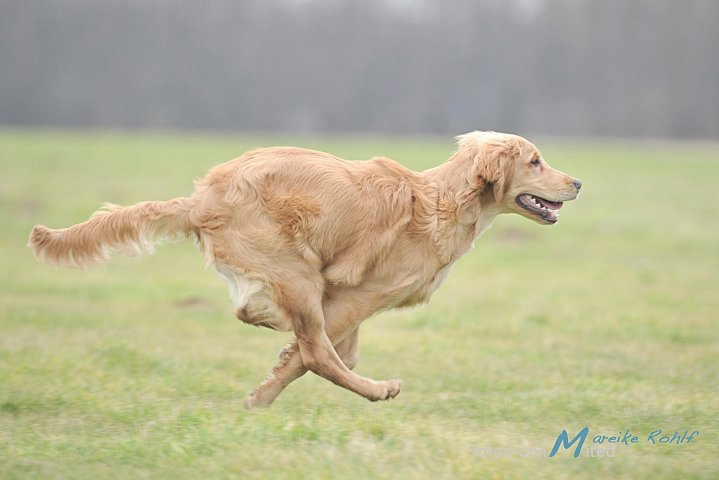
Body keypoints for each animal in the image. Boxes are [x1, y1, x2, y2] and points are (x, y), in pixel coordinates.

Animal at [28, 131, 581, 408]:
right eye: (535, 161)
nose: (578, 182)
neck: (444, 201)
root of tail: (202, 198)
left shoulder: (348, 303)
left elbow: (336, 349)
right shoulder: (354, 295)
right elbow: (317, 355)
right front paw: (263, 392)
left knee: (261, 318)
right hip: (299, 271)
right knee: (317, 353)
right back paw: (375, 390)